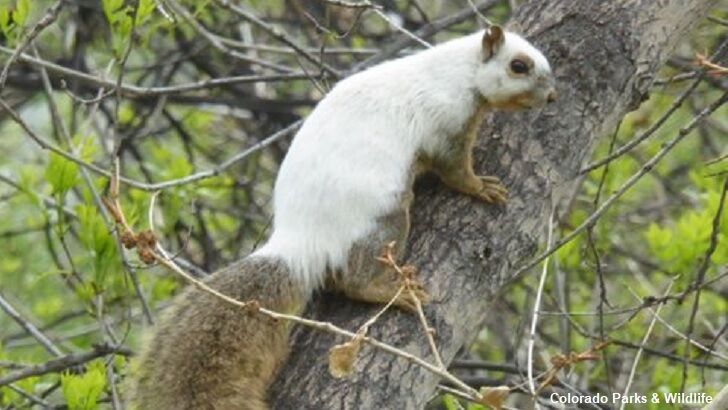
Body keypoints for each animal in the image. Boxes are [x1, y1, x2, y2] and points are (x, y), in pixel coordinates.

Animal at [128, 25, 556, 410]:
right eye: (519, 66)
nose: (552, 95)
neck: (459, 72)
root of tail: (298, 243)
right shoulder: (446, 125)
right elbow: (454, 170)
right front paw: (480, 187)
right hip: (385, 217)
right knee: (354, 279)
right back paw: (389, 291)